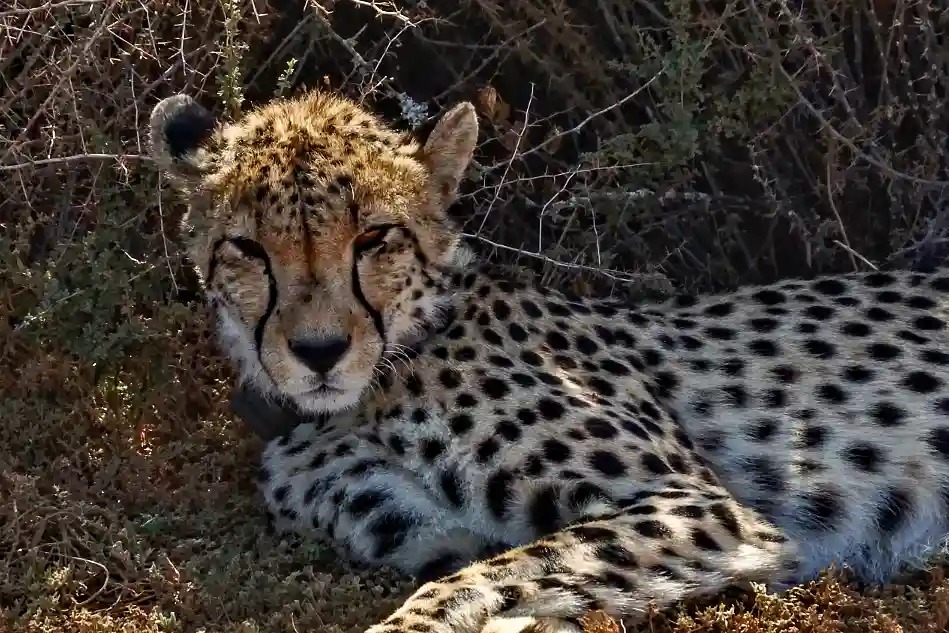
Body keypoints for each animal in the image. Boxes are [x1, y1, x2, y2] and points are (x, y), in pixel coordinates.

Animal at [148, 89, 949, 633]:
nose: (319, 351)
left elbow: (479, 580)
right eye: (248, 249)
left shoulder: (701, 506)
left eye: (374, 238)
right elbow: (510, 573)